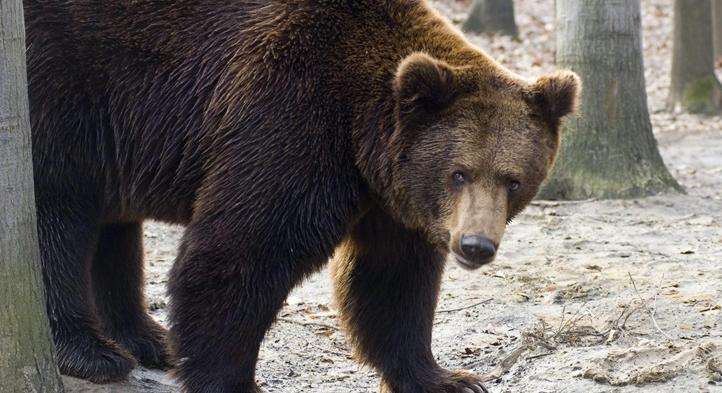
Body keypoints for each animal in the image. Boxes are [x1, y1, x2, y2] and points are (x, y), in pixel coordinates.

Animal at [25, 0, 576, 392]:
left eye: (512, 179)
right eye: (459, 173)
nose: (475, 246)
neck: (361, 135)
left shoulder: (390, 199)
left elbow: (391, 282)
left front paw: (447, 378)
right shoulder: (292, 118)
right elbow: (240, 253)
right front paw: (231, 380)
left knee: (113, 226)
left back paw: (146, 338)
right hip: (63, 87)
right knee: (55, 216)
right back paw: (92, 351)